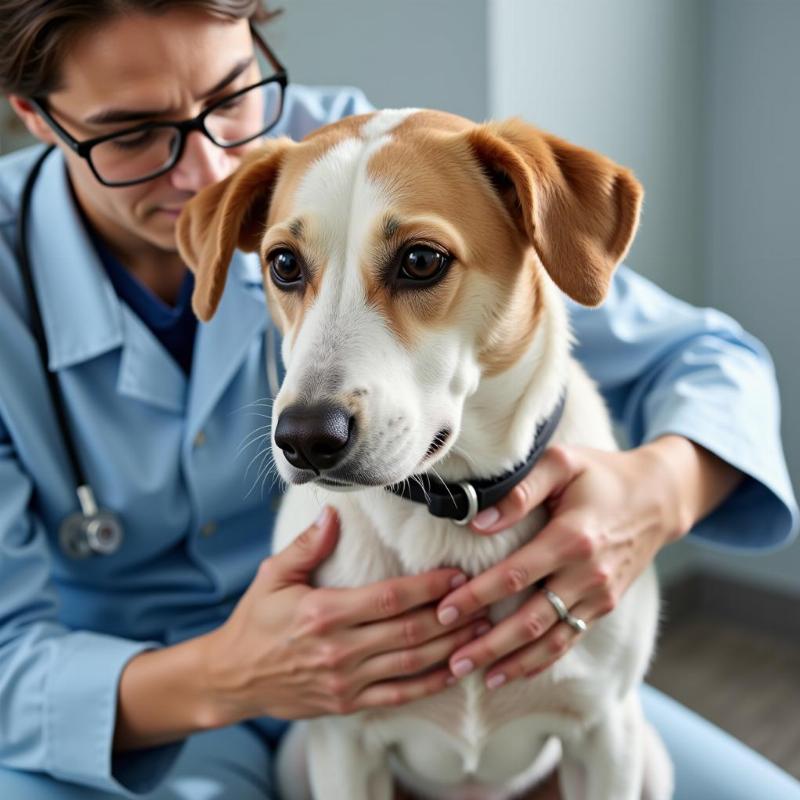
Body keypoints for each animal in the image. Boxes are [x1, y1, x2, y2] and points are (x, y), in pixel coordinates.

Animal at [178, 111, 672, 800]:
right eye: (283, 264)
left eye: (420, 260)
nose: (305, 437)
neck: (452, 512)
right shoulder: (344, 747)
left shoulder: (606, 737)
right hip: (298, 757)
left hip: (648, 756)